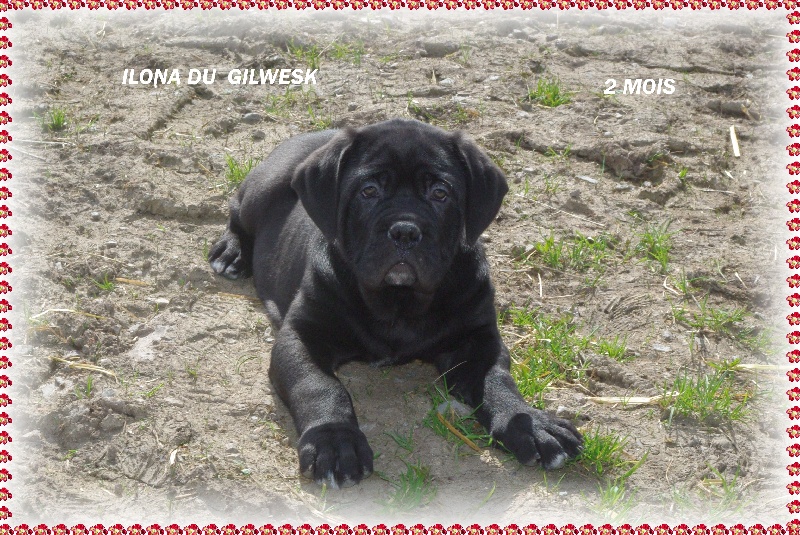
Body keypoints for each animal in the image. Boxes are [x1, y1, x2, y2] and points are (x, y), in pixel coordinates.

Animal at [206, 119, 580, 488]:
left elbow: (497, 381)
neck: (398, 302)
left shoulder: (478, 338)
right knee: (236, 212)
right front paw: (334, 440)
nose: (404, 231)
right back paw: (232, 252)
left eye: (440, 193)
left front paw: (531, 423)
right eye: (368, 191)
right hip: (262, 189)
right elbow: (319, 386)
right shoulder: (301, 336)